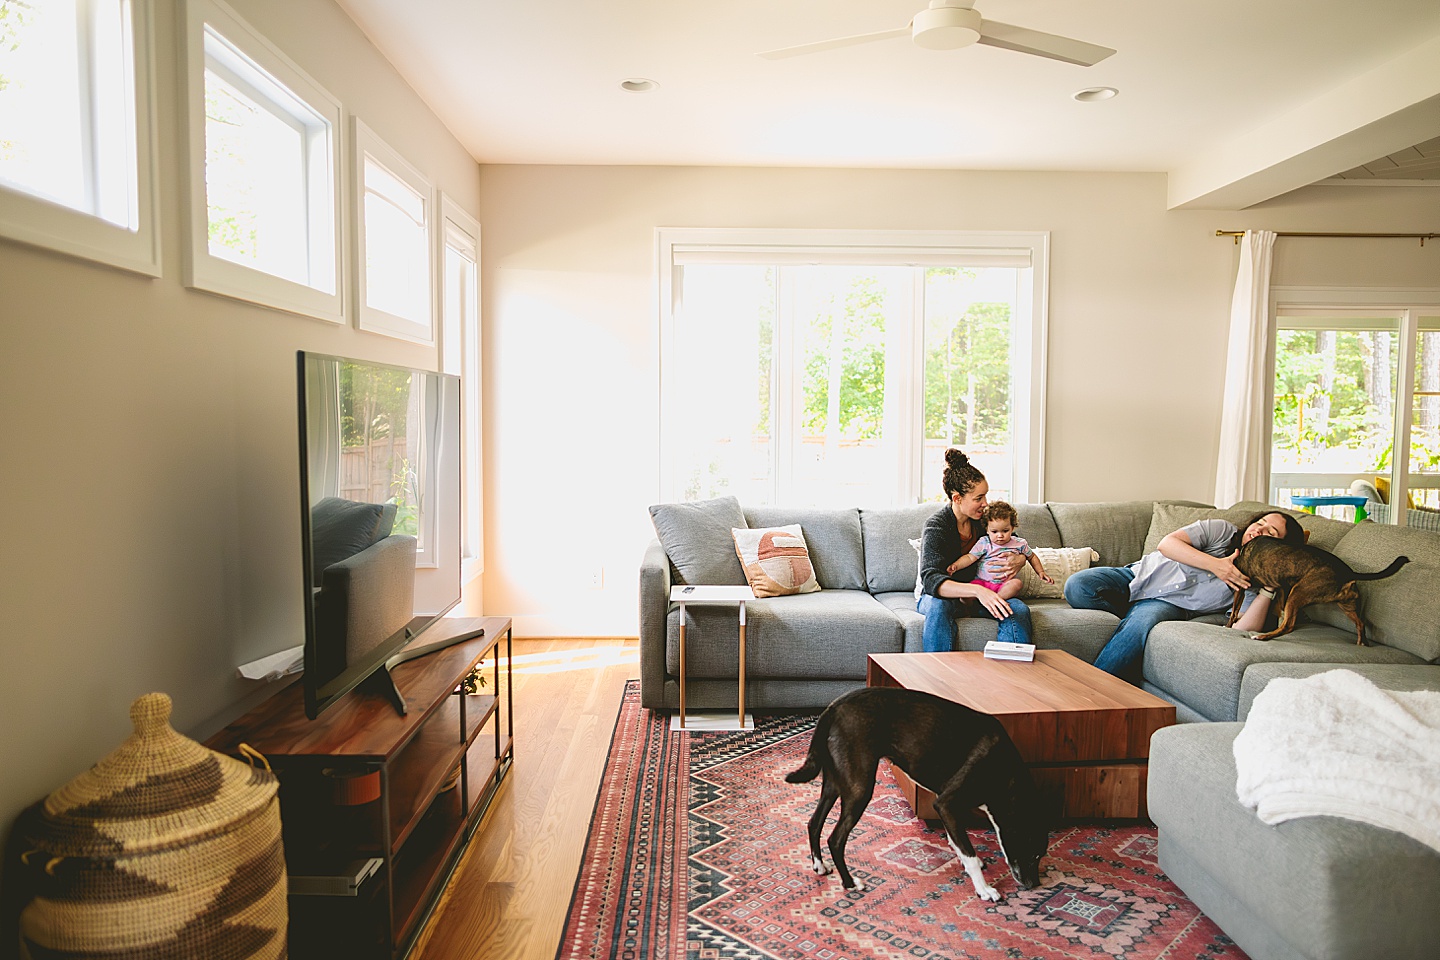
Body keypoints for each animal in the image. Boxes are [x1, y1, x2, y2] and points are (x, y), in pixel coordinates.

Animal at [783, 690, 1054, 903]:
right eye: (1034, 854)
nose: (1035, 885)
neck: (1005, 775)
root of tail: (832, 708)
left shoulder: (946, 806)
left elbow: (957, 841)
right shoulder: (946, 804)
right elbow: (968, 851)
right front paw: (984, 888)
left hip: (834, 785)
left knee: (814, 823)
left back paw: (819, 865)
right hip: (859, 789)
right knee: (836, 839)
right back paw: (850, 883)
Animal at [1226, 541, 1405, 644]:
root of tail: (1348, 573)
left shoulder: (1240, 587)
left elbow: (1234, 611)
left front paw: (1227, 626)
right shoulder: (1283, 588)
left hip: (1298, 593)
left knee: (1288, 626)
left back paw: (1262, 636)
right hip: (1347, 603)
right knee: (1360, 623)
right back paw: (1362, 643)